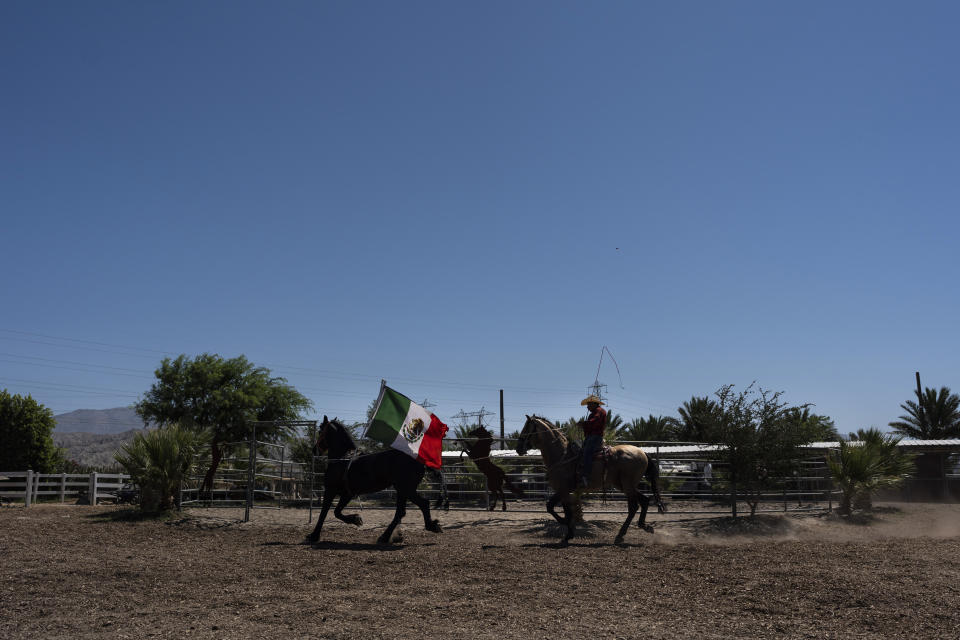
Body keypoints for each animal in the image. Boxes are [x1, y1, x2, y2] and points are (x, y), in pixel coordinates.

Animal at [306, 418, 444, 548]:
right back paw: (385, 537)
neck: (341, 459)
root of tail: (420, 461)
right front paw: (356, 519)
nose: (314, 450)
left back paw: (431, 526)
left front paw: (314, 536)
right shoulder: (347, 494)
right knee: (401, 512)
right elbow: (337, 512)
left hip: (407, 489)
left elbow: (325, 513)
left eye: (320, 430)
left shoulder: (331, 490)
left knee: (423, 504)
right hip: (402, 491)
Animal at [516, 416, 660, 544]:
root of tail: (642, 453)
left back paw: (621, 534)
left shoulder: (563, 489)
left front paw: (567, 530)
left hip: (627, 485)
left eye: (526, 428)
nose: (518, 448)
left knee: (634, 507)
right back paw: (643, 526)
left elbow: (562, 511)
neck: (562, 456)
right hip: (623, 485)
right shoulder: (562, 490)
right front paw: (568, 532)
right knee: (645, 500)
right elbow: (552, 507)